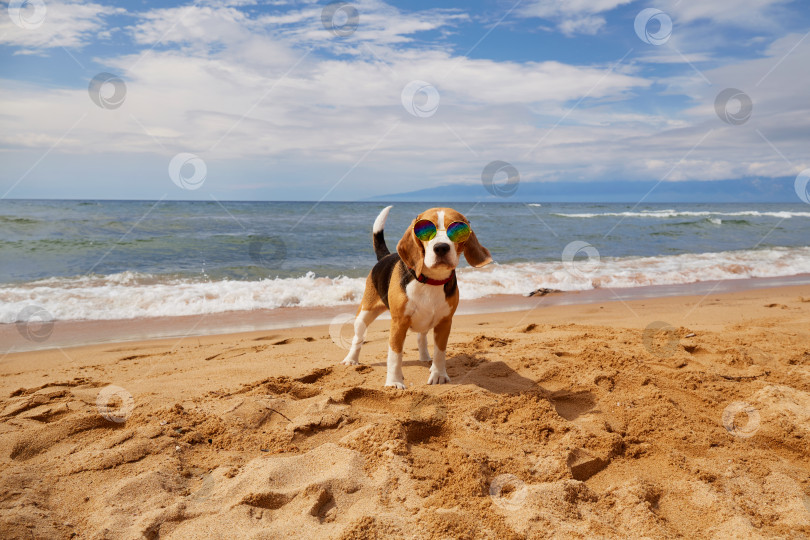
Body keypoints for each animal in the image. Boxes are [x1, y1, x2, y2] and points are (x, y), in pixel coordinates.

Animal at [338, 206, 490, 388]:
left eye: (458, 230)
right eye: (425, 231)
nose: (441, 247)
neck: (431, 281)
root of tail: (386, 256)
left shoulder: (445, 322)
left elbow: (440, 352)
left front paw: (438, 374)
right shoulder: (399, 323)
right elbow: (395, 355)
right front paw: (394, 382)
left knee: (421, 337)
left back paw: (425, 357)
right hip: (364, 313)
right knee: (358, 338)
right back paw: (351, 359)